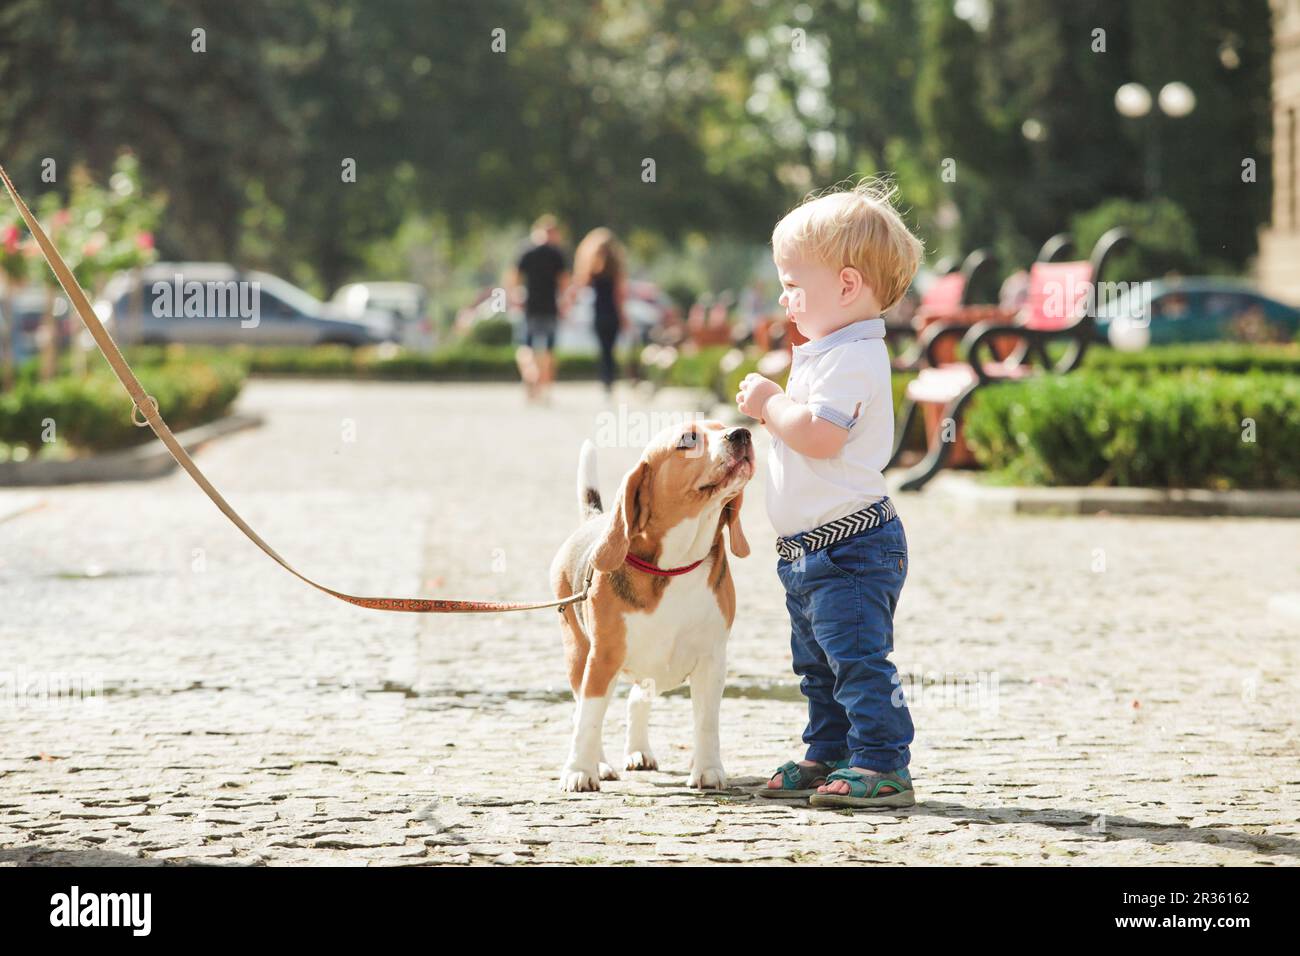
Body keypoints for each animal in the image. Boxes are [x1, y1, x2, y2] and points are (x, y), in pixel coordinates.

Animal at [546, 421, 754, 790]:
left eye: (721, 427)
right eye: (689, 438)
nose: (742, 433)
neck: (675, 565)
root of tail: (593, 520)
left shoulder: (712, 660)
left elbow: (706, 722)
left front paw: (708, 769)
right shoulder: (602, 658)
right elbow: (589, 719)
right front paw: (579, 771)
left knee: (636, 700)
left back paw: (639, 752)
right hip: (578, 654)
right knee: (582, 709)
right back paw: (600, 764)